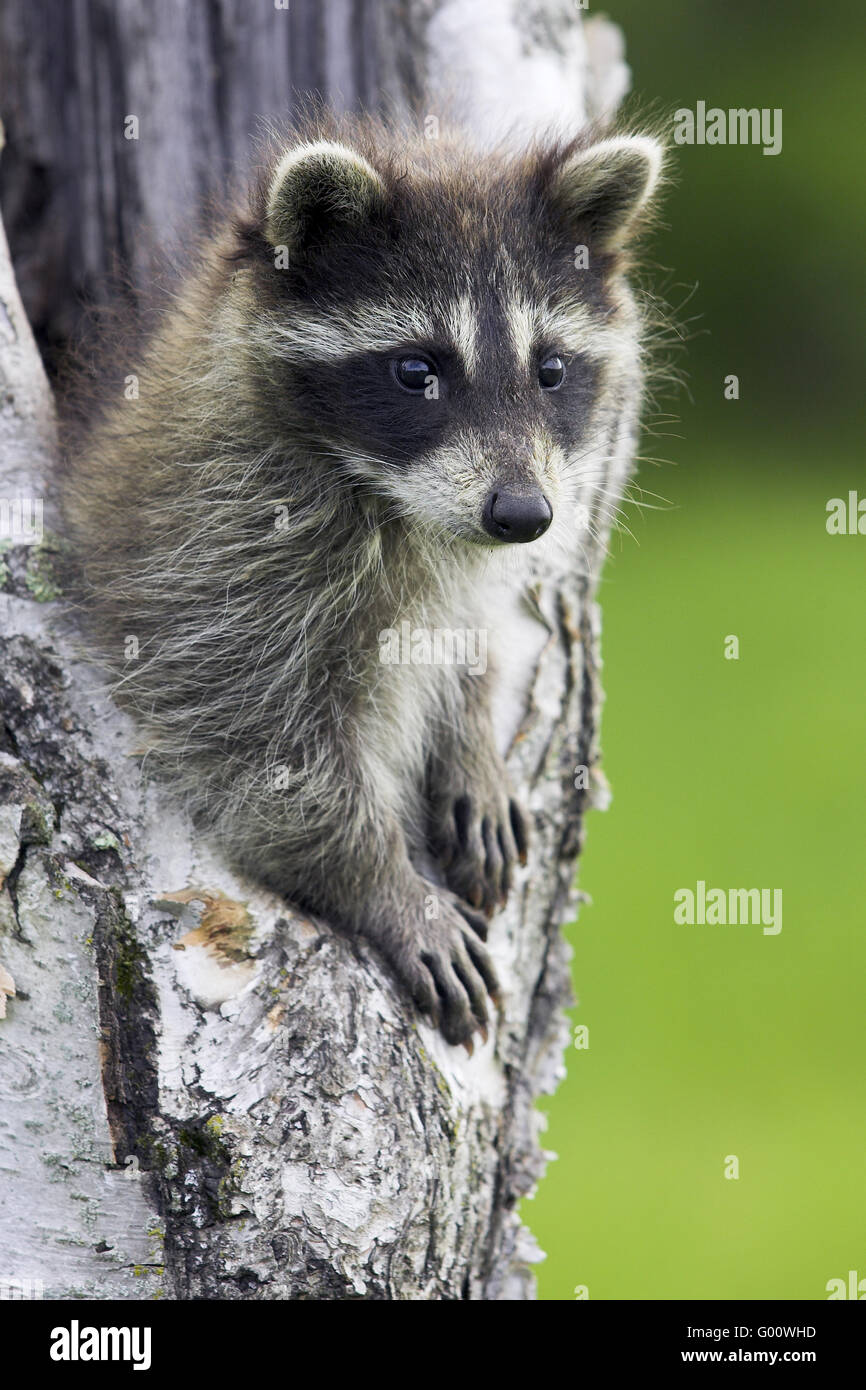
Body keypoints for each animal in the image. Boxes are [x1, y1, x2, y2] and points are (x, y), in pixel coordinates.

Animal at [61, 113, 663, 1046]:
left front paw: (470, 727)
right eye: (418, 370)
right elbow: (264, 748)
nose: (523, 516)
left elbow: (466, 624)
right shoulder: (213, 553)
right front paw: (381, 884)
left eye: (551, 370)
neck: (393, 497)